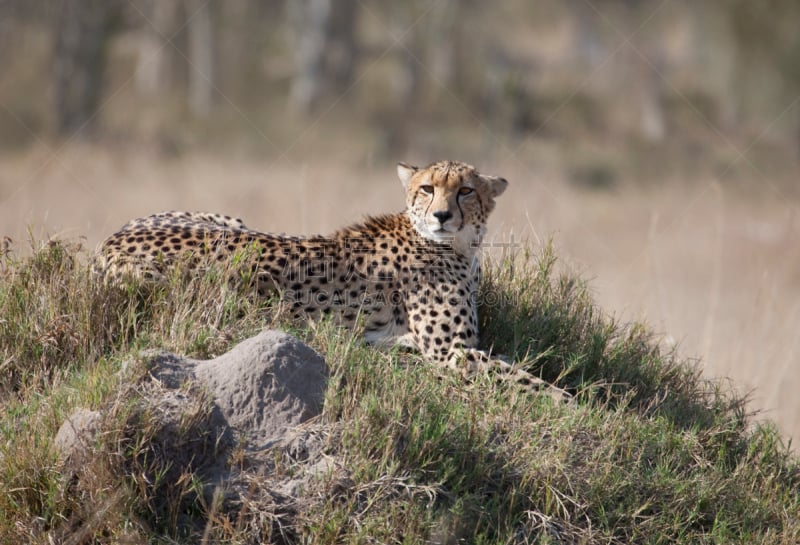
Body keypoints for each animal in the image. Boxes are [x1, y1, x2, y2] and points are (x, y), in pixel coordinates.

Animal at [97, 162, 564, 400]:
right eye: (427, 188)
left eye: (466, 190)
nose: (442, 215)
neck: (459, 245)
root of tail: (113, 238)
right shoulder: (450, 351)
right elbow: (526, 381)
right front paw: (574, 405)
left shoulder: (456, 348)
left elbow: (514, 370)